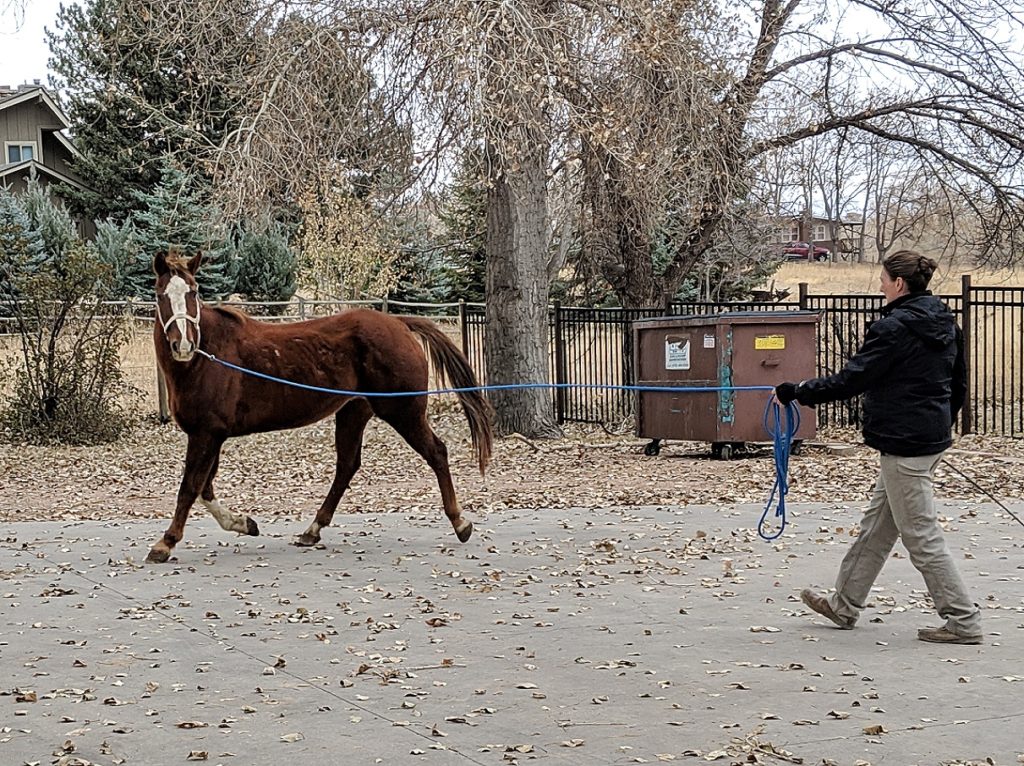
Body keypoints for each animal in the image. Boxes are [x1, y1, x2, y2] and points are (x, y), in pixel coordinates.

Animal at [146, 250, 493, 561]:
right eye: (162, 295)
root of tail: (398, 322)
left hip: (403, 411)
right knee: (347, 466)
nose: (183, 344)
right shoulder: (212, 434)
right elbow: (205, 488)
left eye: (192, 291)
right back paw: (312, 530)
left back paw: (460, 522)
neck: (204, 359)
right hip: (354, 412)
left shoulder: (206, 433)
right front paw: (244, 523)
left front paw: (165, 543)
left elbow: (190, 487)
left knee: (436, 452)